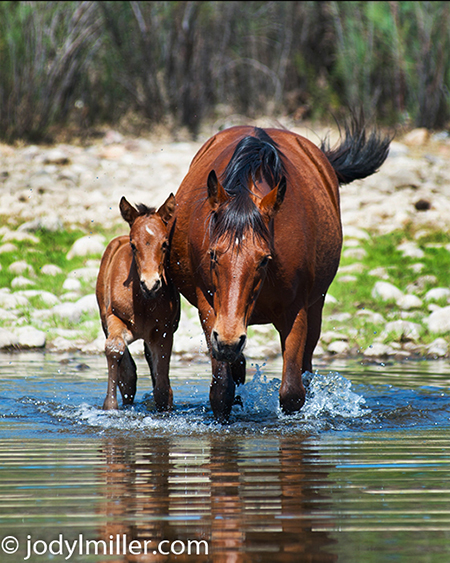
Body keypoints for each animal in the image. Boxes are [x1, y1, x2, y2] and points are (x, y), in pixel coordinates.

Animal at [169, 123, 390, 424]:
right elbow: (221, 391)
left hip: (316, 306)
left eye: (264, 260)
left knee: (306, 363)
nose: (228, 340)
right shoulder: (210, 309)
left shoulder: (295, 311)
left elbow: (292, 392)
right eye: (213, 254)